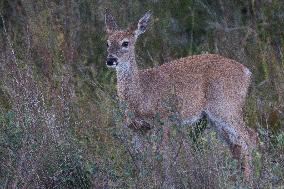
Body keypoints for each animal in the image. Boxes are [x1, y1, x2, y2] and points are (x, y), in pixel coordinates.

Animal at [103, 8, 258, 183]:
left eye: (125, 43)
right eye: (107, 43)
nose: (110, 60)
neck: (141, 94)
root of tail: (246, 72)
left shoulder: (164, 119)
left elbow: (162, 154)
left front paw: (165, 180)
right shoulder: (136, 128)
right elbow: (139, 157)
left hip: (226, 107)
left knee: (249, 137)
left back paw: (250, 180)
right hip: (216, 117)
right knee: (236, 144)